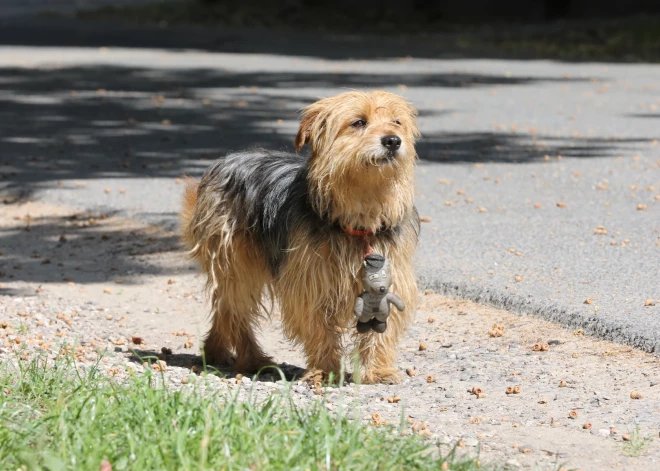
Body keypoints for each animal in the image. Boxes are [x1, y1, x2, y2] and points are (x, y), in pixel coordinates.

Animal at [180, 90, 418, 386]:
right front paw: (325, 370)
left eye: (397, 122)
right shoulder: (310, 283)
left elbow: (381, 327)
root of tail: (225, 161)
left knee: (226, 309)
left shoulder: (388, 276)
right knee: (235, 311)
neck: (360, 216)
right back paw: (252, 359)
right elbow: (318, 326)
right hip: (236, 265)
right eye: (359, 122)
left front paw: (378, 370)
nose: (393, 140)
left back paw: (215, 351)